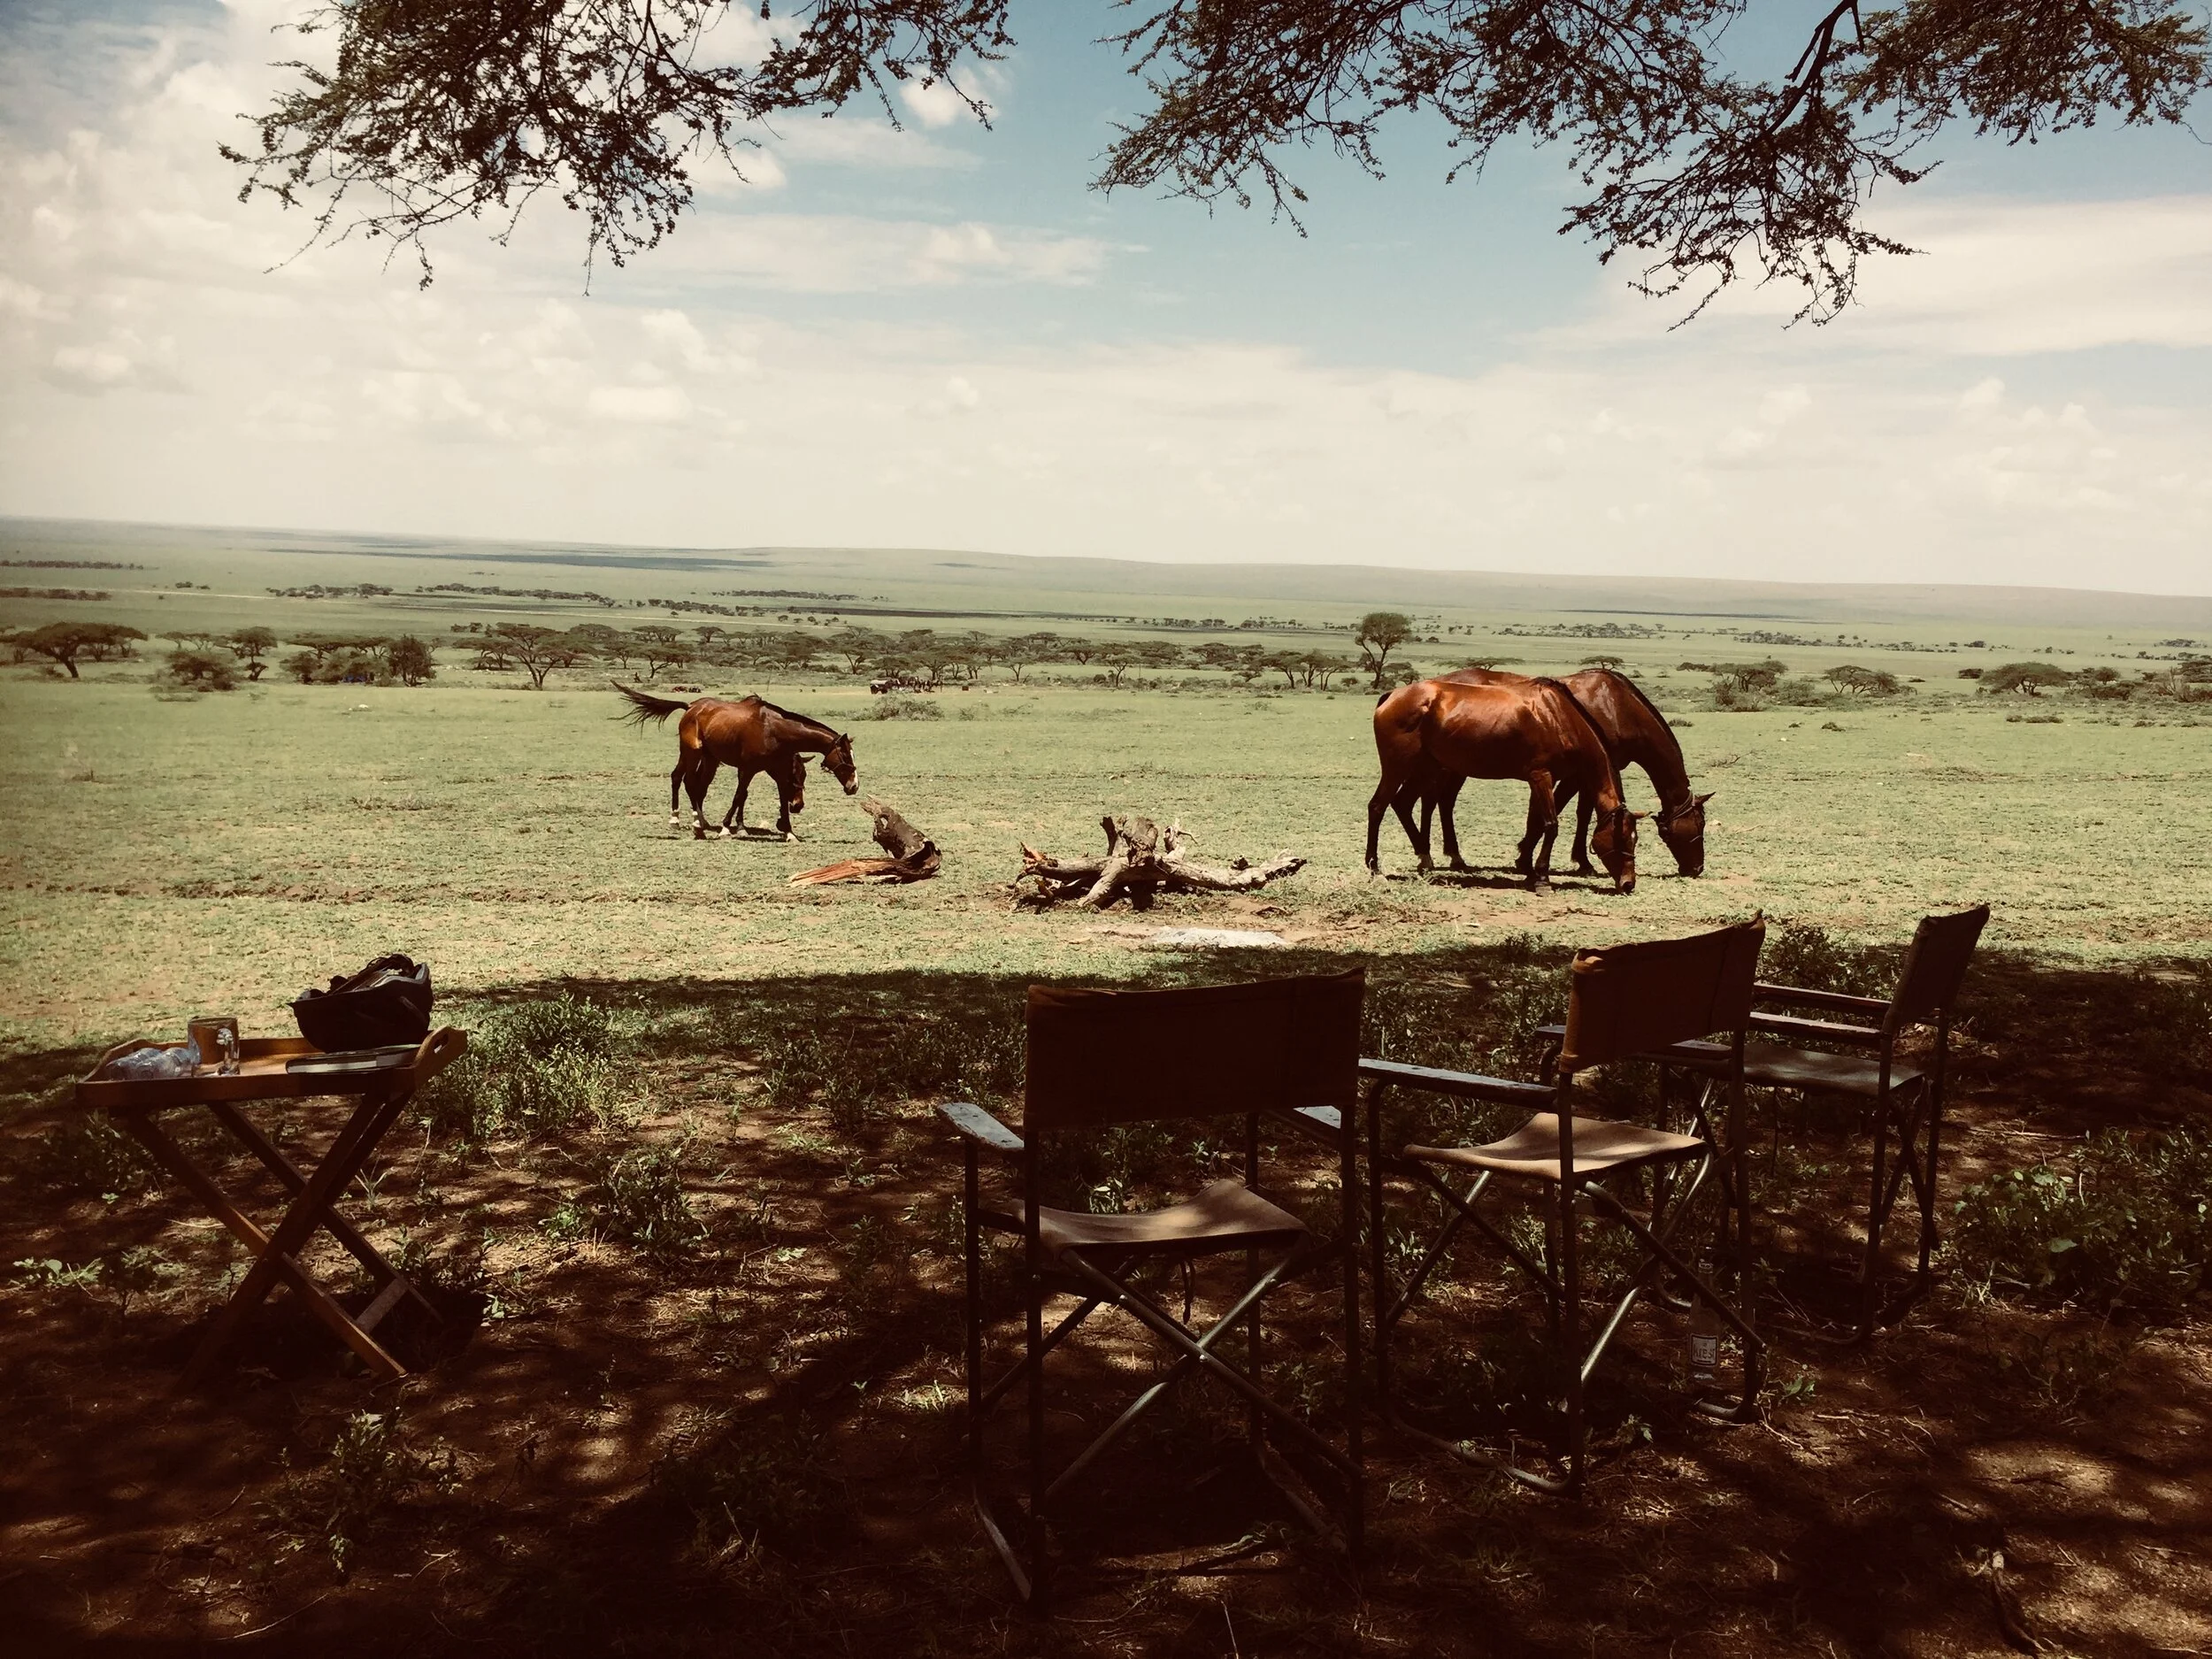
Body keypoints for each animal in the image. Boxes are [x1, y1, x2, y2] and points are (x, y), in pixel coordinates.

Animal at [613, 684, 858, 840]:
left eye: (803, 776)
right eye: (846, 757)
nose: (854, 786)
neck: (773, 730)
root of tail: (691, 707)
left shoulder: (776, 771)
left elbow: (774, 799)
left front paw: (787, 831)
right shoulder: (747, 769)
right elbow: (740, 795)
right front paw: (727, 828)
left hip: (710, 759)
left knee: (697, 786)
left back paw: (698, 821)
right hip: (691, 752)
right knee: (686, 781)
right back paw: (688, 824)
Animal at [1367, 675, 1640, 891]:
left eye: (1635, 839)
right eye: (1623, 838)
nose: (1628, 883)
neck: (1558, 716)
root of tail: (1393, 695)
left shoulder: (1542, 781)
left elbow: (1537, 823)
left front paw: (1528, 869)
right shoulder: (1541, 776)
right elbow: (1551, 826)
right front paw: (1542, 877)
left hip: (1424, 769)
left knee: (1402, 804)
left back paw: (1425, 858)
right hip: (1398, 769)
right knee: (1377, 807)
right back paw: (1375, 869)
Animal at [1400, 668, 1711, 878]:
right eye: (1699, 825)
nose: (1696, 868)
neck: (1616, 705)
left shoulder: (1589, 775)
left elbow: (1582, 813)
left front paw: (1578, 860)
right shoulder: (1574, 775)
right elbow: (1555, 811)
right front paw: (1528, 857)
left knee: (1438, 801)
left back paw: (1447, 856)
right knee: (1435, 800)